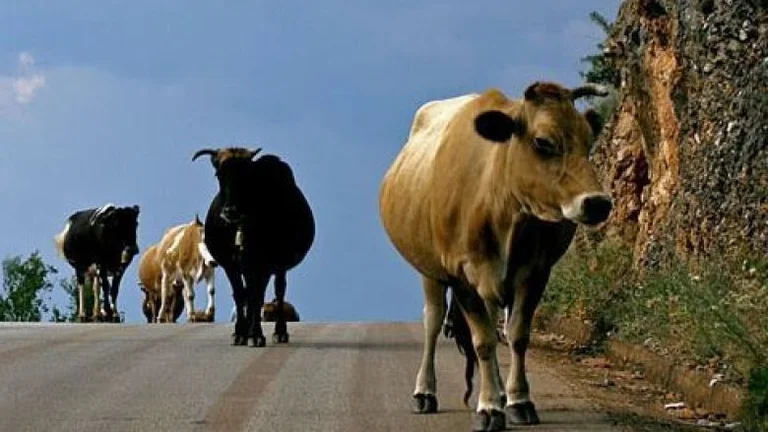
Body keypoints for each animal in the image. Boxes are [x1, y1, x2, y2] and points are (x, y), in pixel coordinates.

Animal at [192, 147, 315, 346]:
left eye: (247, 176)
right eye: (219, 175)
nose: (230, 211)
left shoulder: (263, 265)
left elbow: (257, 297)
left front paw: (256, 334)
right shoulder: (231, 265)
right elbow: (240, 295)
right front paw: (239, 333)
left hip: (278, 266)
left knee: (278, 291)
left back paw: (279, 332)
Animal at [379, 82, 612, 431]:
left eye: (588, 140)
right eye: (543, 142)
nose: (598, 203)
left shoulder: (536, 272)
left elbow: (516, 335)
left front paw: (517, 400)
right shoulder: (460, 273)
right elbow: (484, 341)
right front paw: (489, 407)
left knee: (490, 320)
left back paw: (499, 391)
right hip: (430, 270)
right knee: (433, 321)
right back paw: (425, 393)